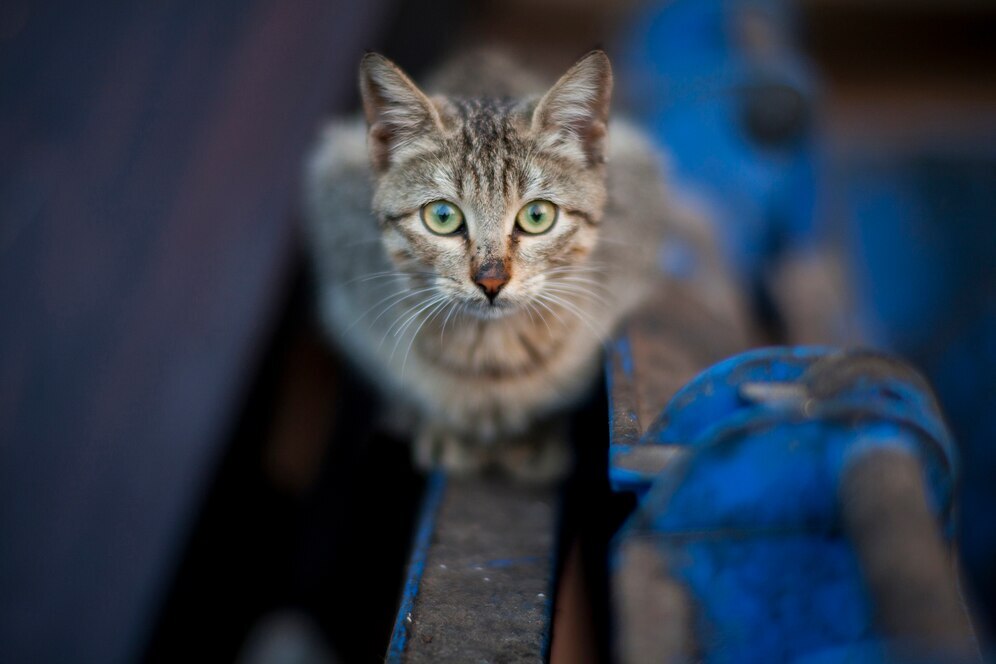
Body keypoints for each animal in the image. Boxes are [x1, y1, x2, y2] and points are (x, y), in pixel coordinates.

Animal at [300, 48, 680, 482]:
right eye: (442, 216)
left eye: (537, 216)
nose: (492, 280)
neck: (490, 354)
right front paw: (441, 425)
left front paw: (537, 432)